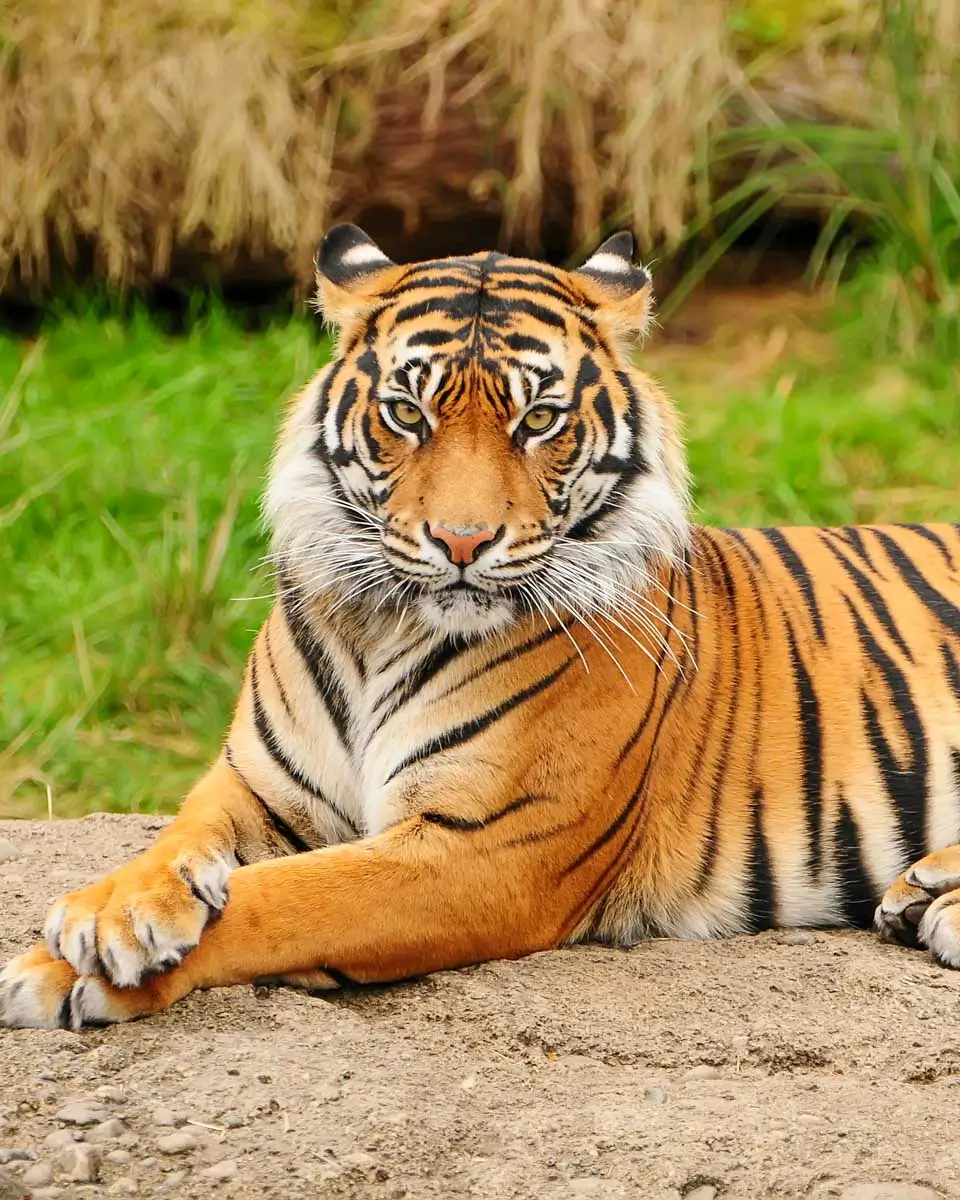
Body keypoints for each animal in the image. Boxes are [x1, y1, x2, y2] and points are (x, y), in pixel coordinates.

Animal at [2, 224, 960, 1031]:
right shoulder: (259, 783)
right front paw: (113, 912)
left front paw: (61, 972)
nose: (462, 542)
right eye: (407, 413)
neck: (380, 629)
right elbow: (177, 836)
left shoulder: (485, 849)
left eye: (538, 420)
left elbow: (288, 897)